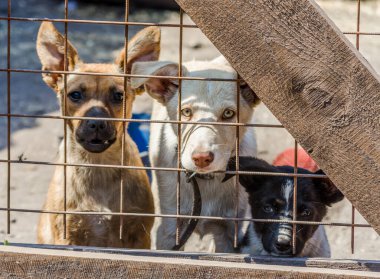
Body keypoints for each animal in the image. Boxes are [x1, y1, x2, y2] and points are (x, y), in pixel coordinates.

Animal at [36, 21, 159, 249]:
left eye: (118, 96)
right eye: (75, 95)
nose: (97, 123)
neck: (97, 165)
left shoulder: (140, 235)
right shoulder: (67, 235)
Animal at [132, 56, 260, 252]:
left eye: (228, 113)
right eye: (186, 112)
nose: (201, 158)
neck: (206, 182)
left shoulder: (229, 231)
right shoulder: (169, 230)